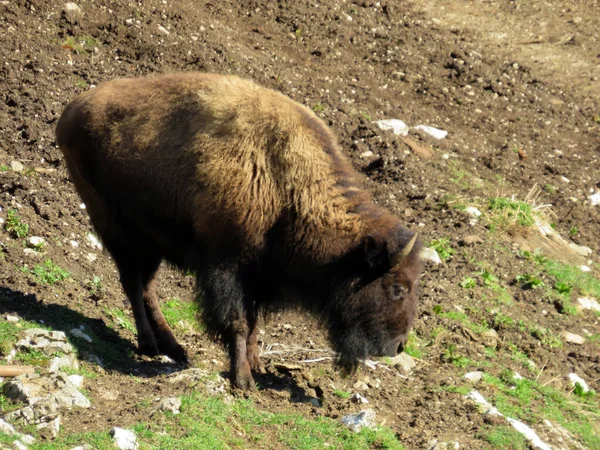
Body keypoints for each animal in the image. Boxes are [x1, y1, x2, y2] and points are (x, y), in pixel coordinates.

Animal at [55, 72, 422, 388]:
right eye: (397, 288)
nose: (399, 346)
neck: (287, 182)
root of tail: (71, 110)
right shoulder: (228, 266)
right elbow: (238, 321)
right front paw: (243, 380)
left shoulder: (258, 276)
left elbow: (254, 321)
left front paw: (256, 365)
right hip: (121, 232)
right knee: (134, 285)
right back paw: (150, 346)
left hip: (150, 242)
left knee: (146, 288)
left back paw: (174, 348)